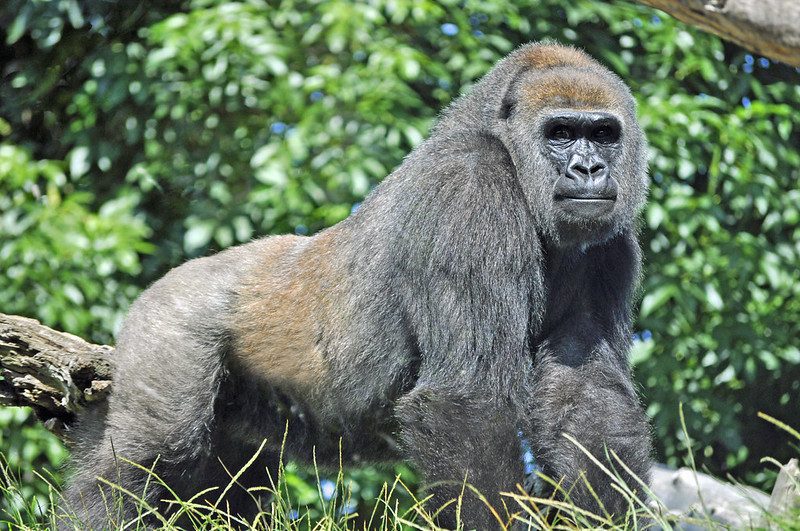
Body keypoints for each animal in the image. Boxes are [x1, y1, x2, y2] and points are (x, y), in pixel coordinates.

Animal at [60, 42, 652, 530]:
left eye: (602, 134)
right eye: (560, 133)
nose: (589, 169)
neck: (501, 143)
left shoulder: (610, 242)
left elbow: (585, 397)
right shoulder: (468, 189)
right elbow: (469, 400)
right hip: (169, 319)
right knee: (151, 453)